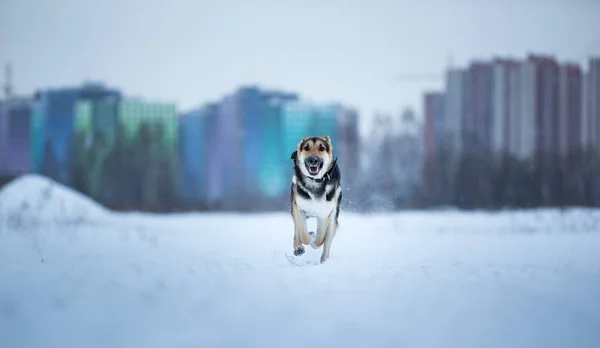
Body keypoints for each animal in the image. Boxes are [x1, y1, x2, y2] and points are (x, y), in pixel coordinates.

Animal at [290, 136, 342, 264]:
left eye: (322, 148)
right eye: (306, 148)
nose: (313, 160)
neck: (315, 181)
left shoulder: (324, 214)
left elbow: (320, 239)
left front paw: (314, 241)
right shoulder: (299, 208)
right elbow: (303, 234)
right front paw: (310, 237)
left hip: (333, 217)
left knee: (327, 241)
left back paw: (324, 261)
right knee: (297, 229)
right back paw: (298, 248)